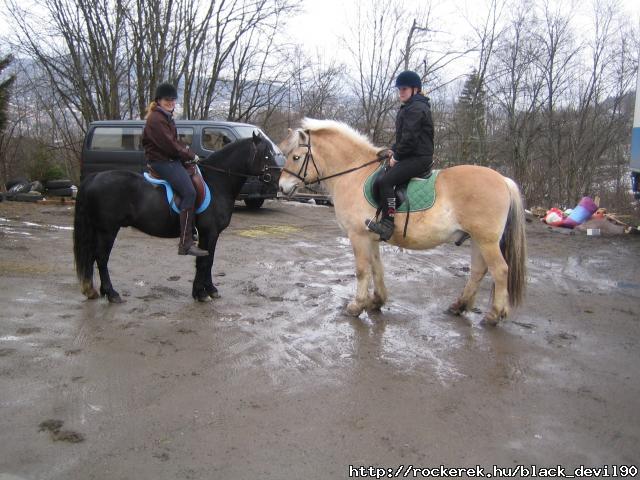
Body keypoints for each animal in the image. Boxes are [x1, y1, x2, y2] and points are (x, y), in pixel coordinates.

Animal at [74, 133, 276, 302]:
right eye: (267, 155)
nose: (276, 180)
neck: (217, 183)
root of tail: (94, 177)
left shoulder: (211, 234)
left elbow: (208, 261)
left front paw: (208, 290)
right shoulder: (209, 232)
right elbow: (205, 262)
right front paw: (202, 293)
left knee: (92, 257)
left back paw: (94, 291)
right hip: (108, 230)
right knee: (101, 258)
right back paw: (111, 293)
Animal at [278, 118, 524, 324]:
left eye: (296, 157)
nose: (282, 187)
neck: (354, 174)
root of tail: (503, 179)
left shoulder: (358, 235)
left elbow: (362, 270)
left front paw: (356, 306)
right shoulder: (371, 237)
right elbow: (377, 268)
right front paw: (377, 301)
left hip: (486, 240)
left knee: (500, 270)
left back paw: (493, 315)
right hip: (476, 239)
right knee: (478, 271)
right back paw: (459, 305)